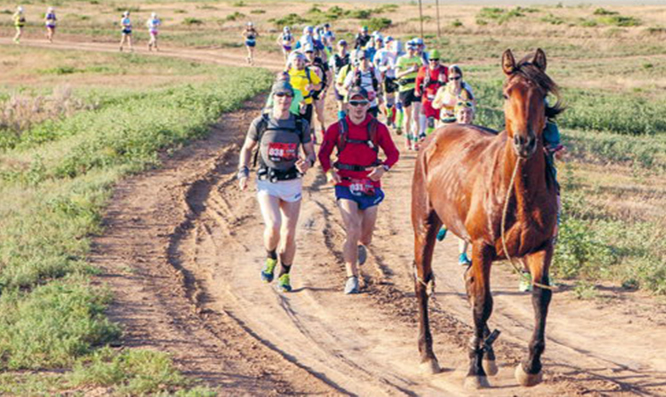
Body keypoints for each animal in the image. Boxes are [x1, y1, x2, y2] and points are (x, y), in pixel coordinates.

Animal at [410, 48, 560, 388]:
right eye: (507, 93)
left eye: (542, 94)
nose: (524, 141)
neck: (518, 188)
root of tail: (435, 136)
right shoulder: (481, 247)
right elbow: (482, 303)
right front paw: (474, 370)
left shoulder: (541, 247)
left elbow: (540, 299)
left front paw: (530, 366)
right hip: (425, 225)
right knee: (423, 281)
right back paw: (428, 354)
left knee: (469, 282)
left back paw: (486, 352)